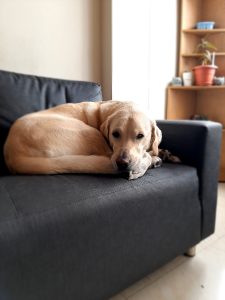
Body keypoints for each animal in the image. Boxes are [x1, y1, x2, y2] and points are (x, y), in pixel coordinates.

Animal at [3, 101, 167, 180]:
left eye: (140, 136)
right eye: (115, 134)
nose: (122, 163)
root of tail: (14, 156)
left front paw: (161, 151)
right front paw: (153, 158)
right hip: (91, 133)